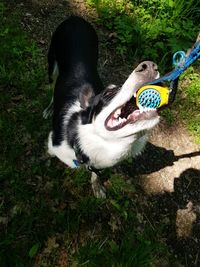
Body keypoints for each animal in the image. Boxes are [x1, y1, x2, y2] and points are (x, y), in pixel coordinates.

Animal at [44, 15, 160, 198]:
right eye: (108, 93)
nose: (149, 66)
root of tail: (76, 18)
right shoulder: (53, 142)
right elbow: (49, 152)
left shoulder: (97, 163)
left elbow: (95, 174)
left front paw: (97, 186)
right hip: (52, 64)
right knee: (52, 86)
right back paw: (49, 109)